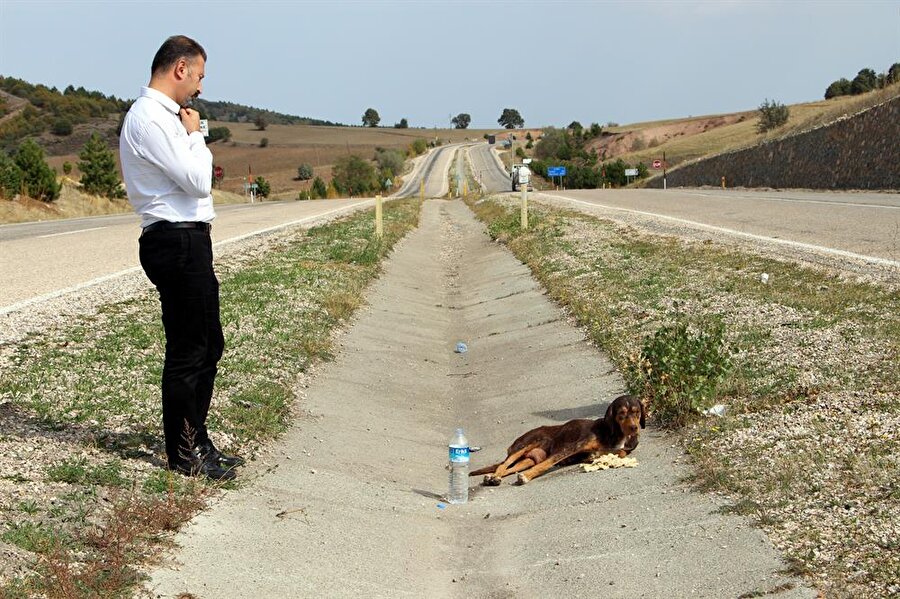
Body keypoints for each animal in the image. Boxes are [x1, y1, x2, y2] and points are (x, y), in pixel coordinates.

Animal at [468, 394, 644, 488]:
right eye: (621, 413)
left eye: (637, 412)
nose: (634, 428)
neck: (616, 433)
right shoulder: (572, 447)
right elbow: (547, 464)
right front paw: (527, 477)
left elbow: (621, 452)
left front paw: (595, 456)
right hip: (526, 444)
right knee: (504, 464)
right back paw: (494, 477)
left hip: (529, 460)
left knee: (511, 468)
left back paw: (493, 477)